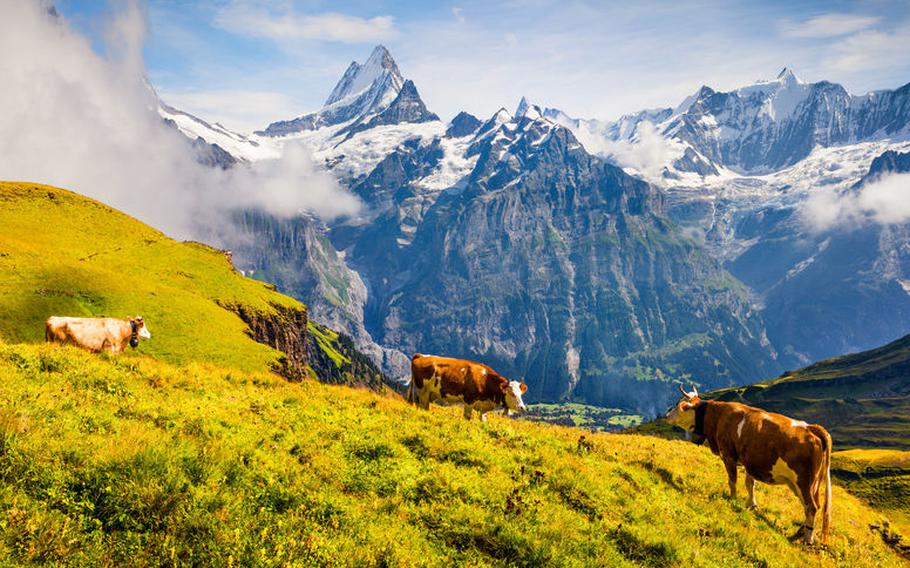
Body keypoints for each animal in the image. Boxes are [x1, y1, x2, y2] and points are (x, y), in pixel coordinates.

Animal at [664, 384, 832, 544]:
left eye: (679, 404)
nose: (666, 415)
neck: (718, 417)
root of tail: (812, 428)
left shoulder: (728, 455)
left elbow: (732, 481)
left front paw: (732, 499)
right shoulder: (750, 461)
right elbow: (750, 484)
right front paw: (751, 504)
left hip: (804, 482)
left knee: (811, 507)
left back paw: (808, 538)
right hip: (809, 484)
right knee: (811, 505)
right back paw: (800, 532)